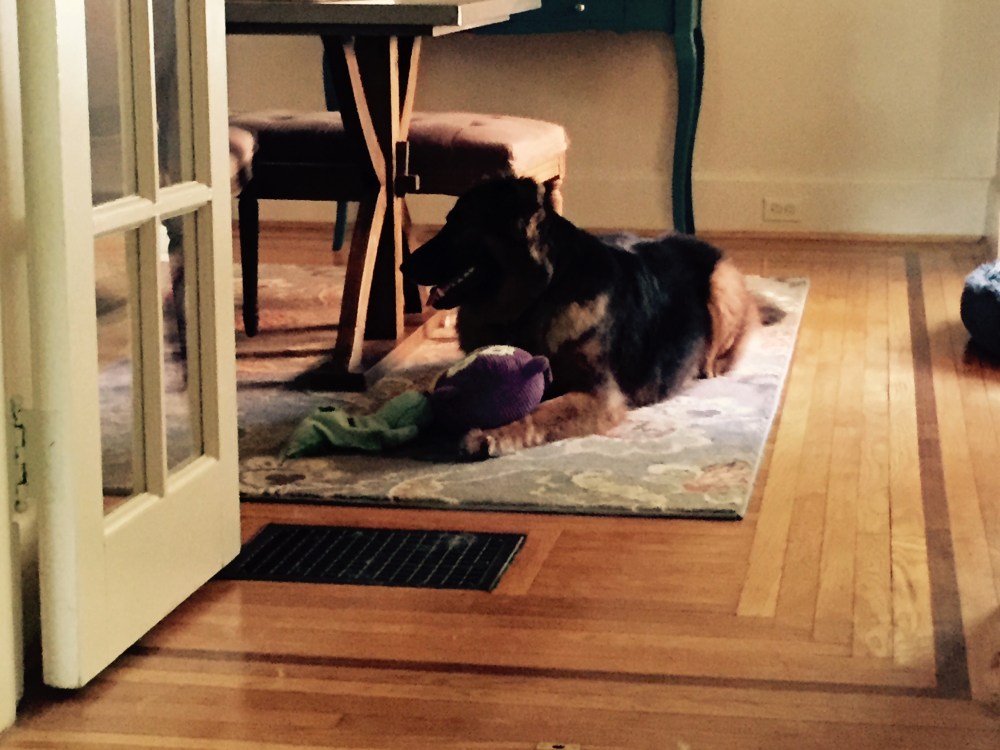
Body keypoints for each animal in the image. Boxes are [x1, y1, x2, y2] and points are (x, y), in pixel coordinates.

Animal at [401, 177, 761, 458]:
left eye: (459, 223)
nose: (403, 267)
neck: (540, 297)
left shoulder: (598, 394)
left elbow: (539, 410)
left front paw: (493, 433)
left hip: (721, 285)